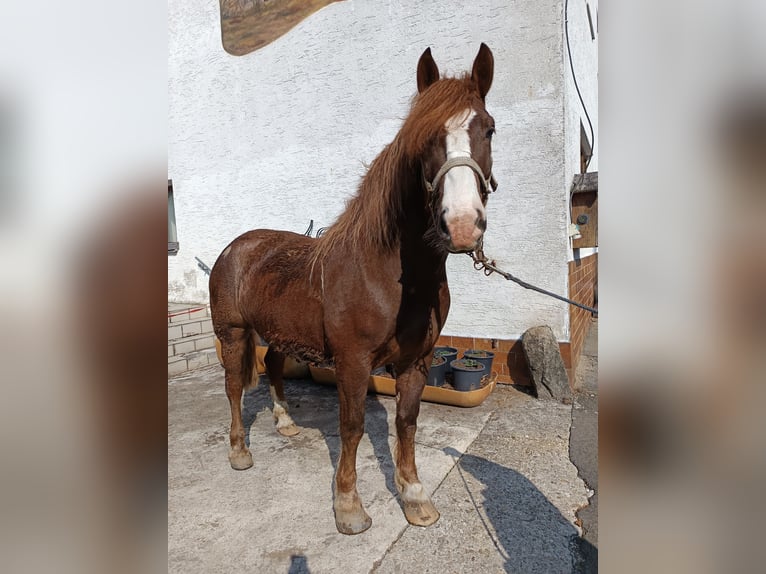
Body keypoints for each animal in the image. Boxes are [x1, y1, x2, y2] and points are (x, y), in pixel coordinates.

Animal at [209, 43, 496, 535]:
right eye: (423, 141)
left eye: (490, 130)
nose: (461, 226)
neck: (391, 276)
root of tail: (235, 247)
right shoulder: (353, 362)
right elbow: (352, 426)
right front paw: (348, 507)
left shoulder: (417, 361)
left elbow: (406, 422)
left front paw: (415, 497)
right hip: (232, 334)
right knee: (232, 387)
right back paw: (239, 451)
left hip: (280, 333)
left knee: (275, 367)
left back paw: (285, 423)